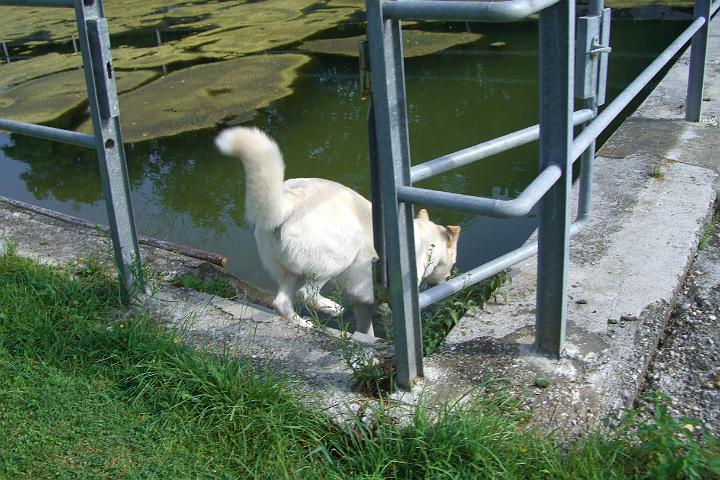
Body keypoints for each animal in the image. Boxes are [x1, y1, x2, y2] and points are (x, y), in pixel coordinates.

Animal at [214, 127, 462, 338]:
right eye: (452, 261)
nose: (447, 278)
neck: (420, 240)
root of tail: (289, 200)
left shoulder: (363, 301)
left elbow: (366, 329)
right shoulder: (390, 303)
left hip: (292, 271)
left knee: (282, 302)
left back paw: (305, 324)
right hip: (335, 260)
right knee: (306, 293)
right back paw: (332, 308)